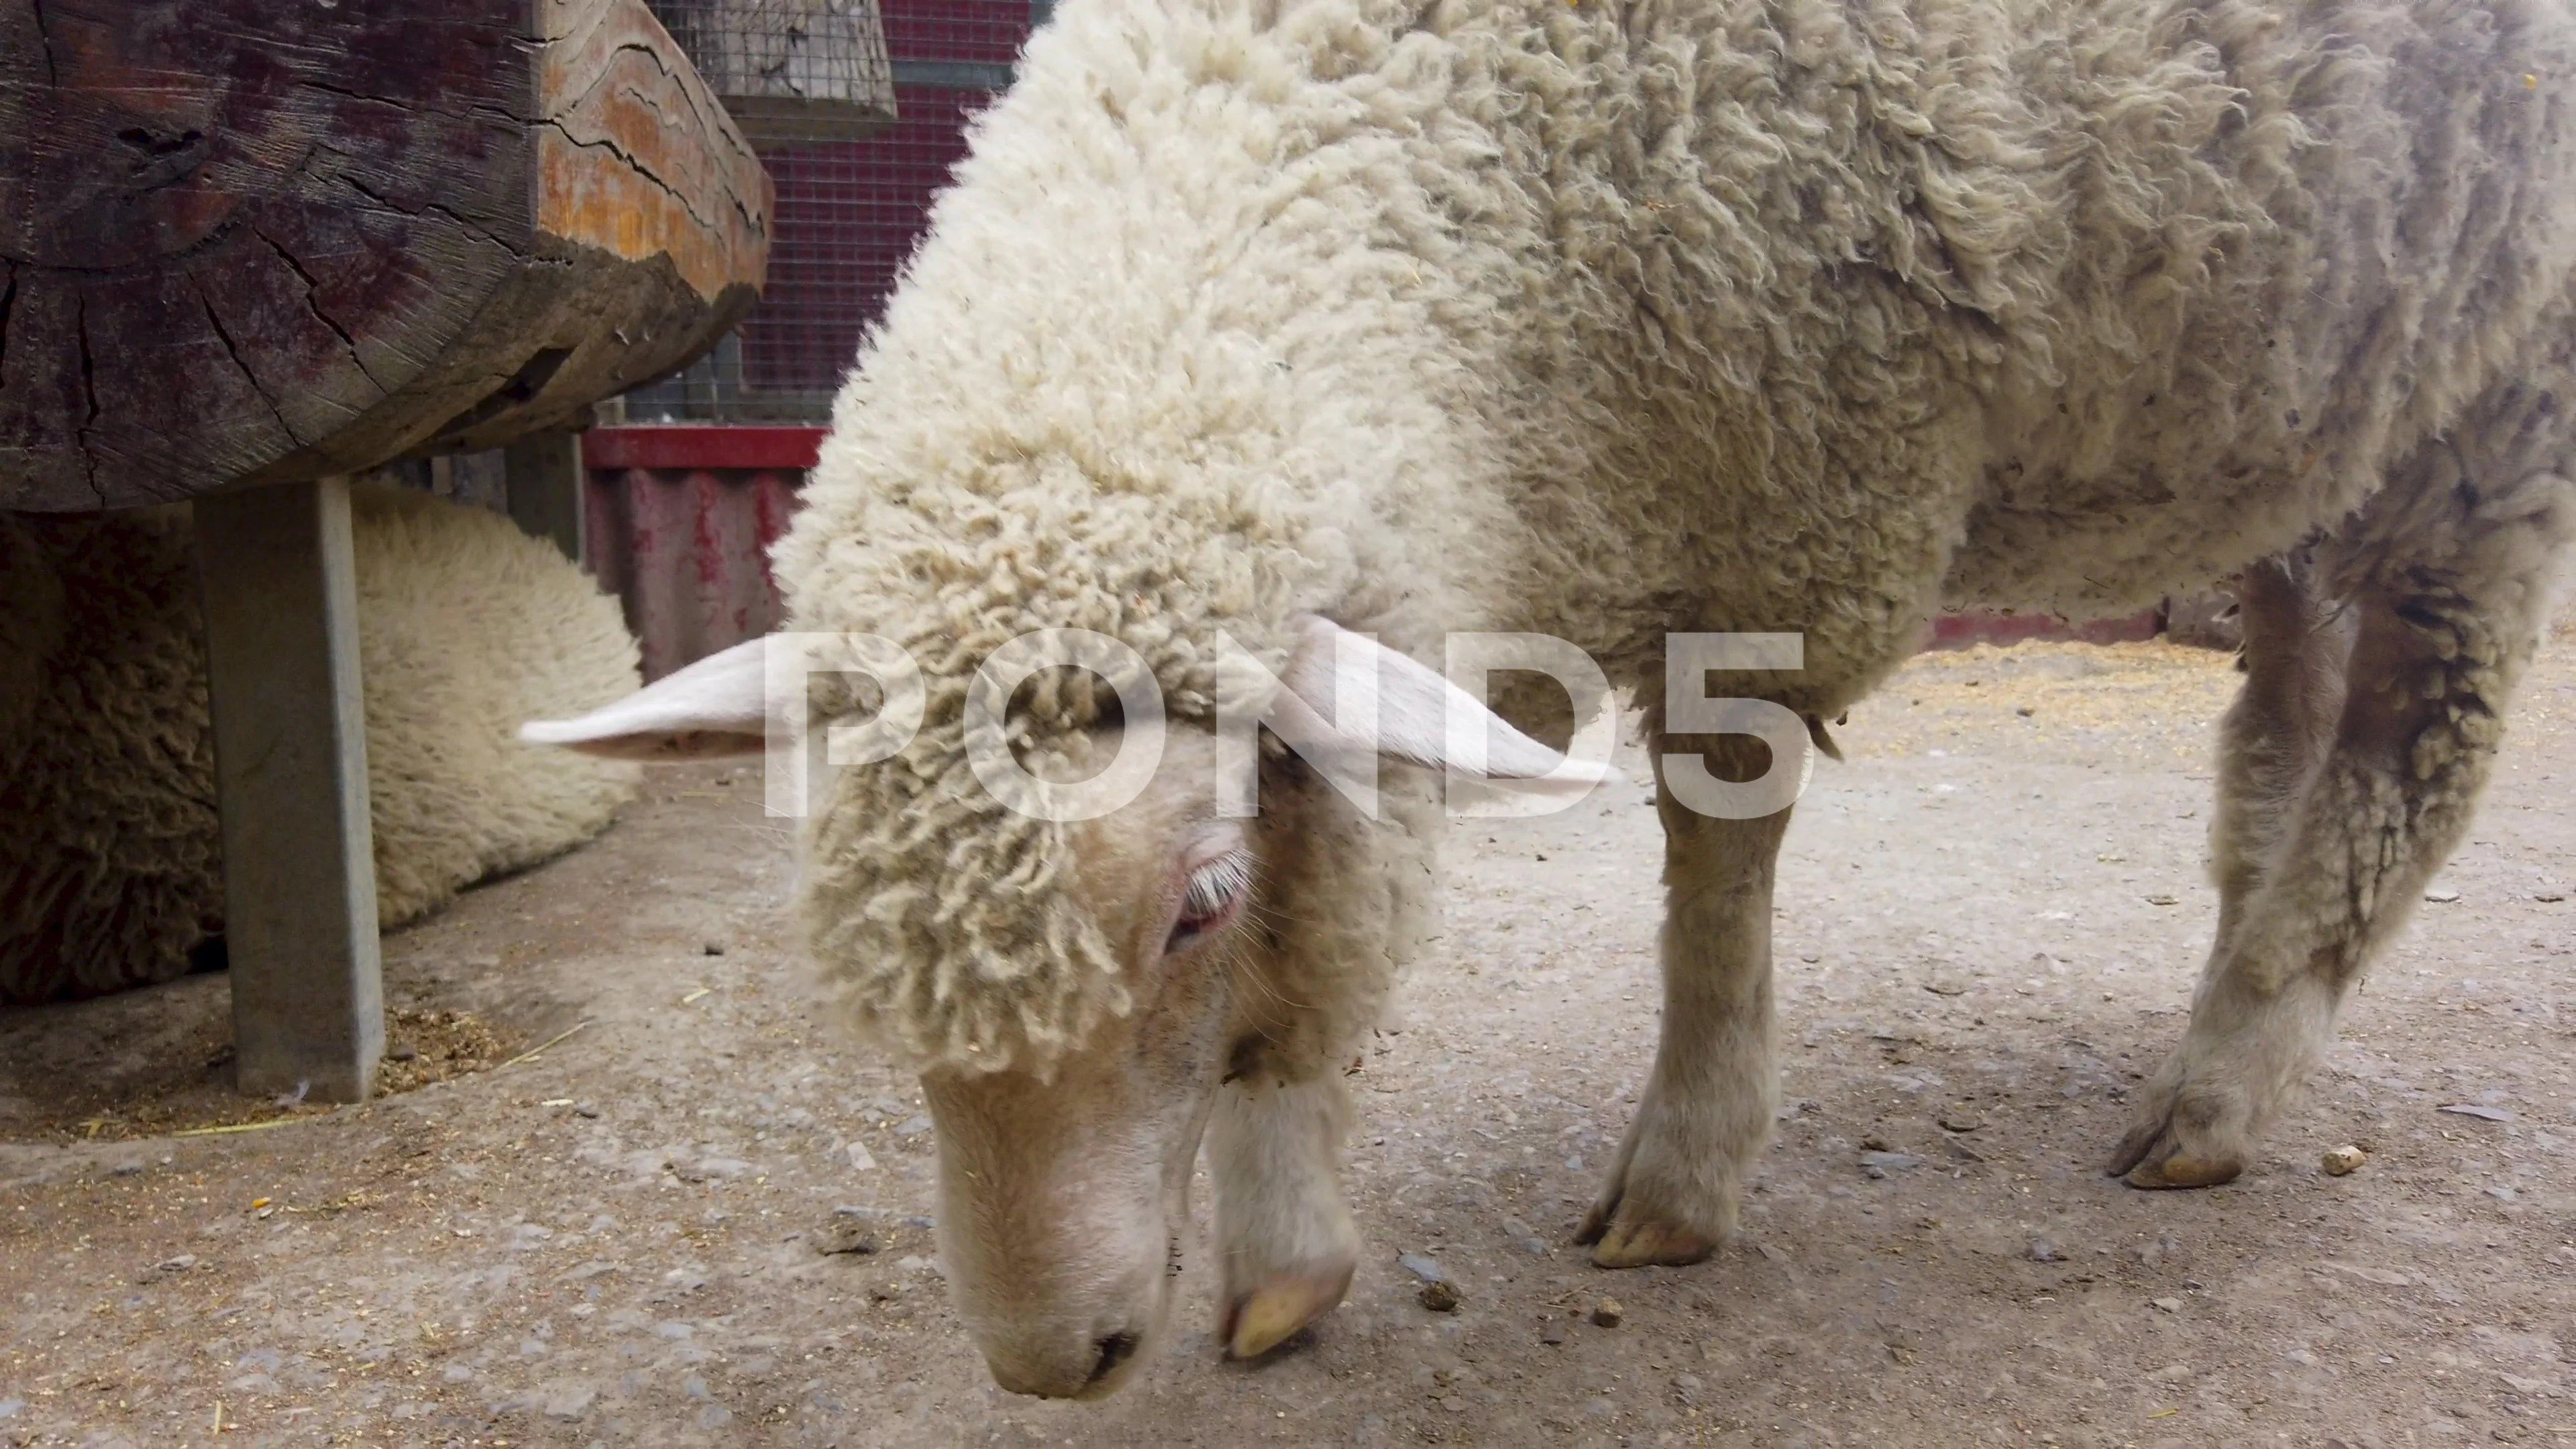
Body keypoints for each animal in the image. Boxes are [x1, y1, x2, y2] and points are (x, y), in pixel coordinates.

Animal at [528, 0, 2576, 1392]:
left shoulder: (1787, 500)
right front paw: (1288, 1247)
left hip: (2501, 396)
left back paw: (2225, 1087)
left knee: (2412, 729)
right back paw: (2242, 981)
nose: (1055, 1358)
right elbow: (1330, 919)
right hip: (2334, 391)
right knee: (2292, 705)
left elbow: (1714, 866)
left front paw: (1678, 1184)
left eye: (1190, 909)